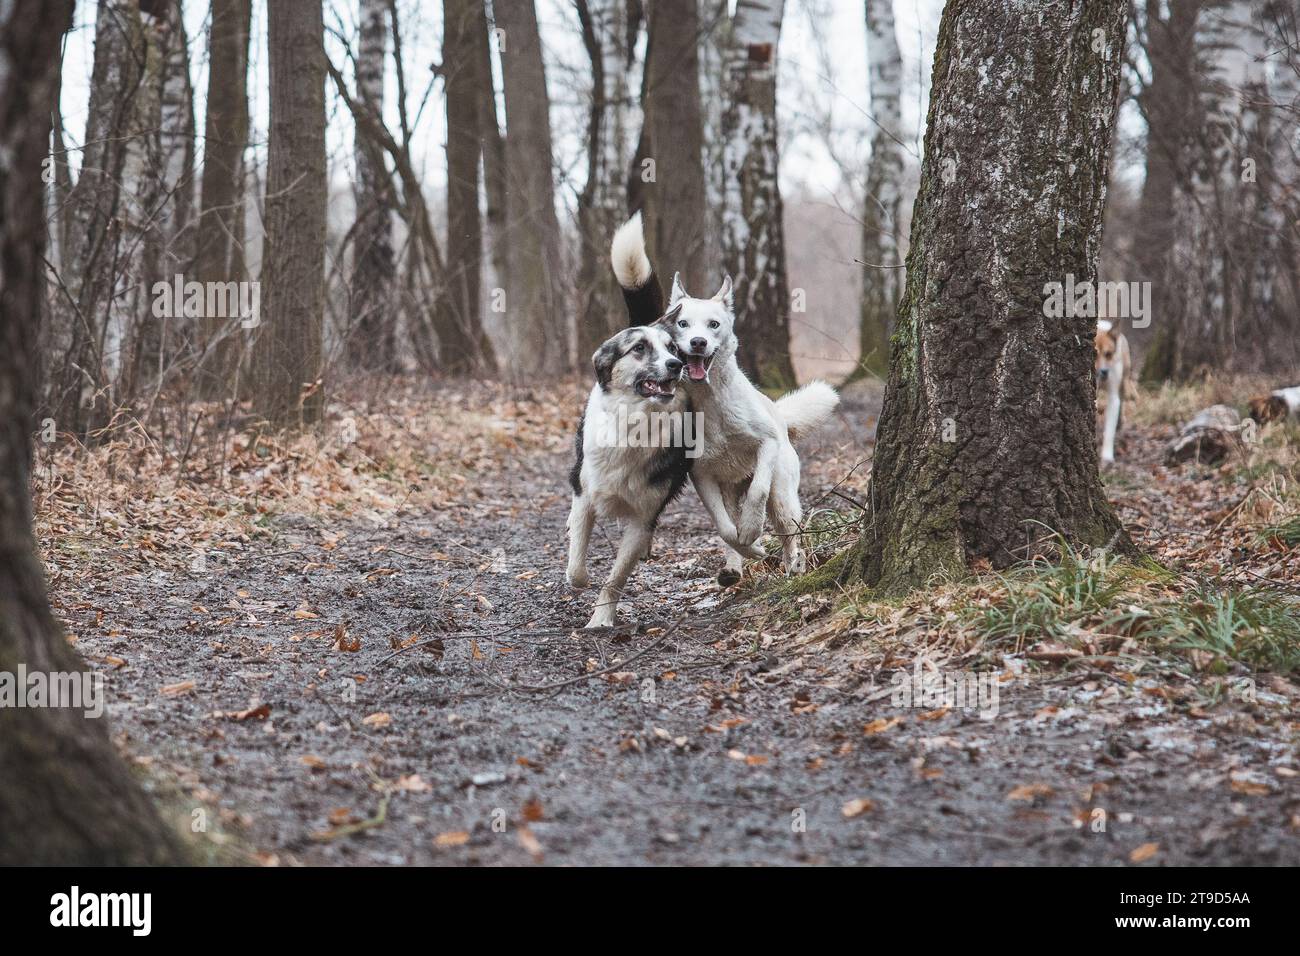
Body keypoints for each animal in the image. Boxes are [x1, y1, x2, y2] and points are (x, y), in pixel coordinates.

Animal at [1097, 319, 1138, 465]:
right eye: (1094, 354)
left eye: (1108, 354)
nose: (1104, 372)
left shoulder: (1113, 397)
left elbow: (1109, 431)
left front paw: (1107, 456)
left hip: (1123, 381)